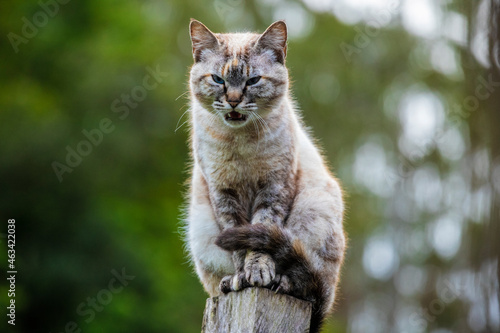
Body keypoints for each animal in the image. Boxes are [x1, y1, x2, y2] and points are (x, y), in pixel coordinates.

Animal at [186, 19, 346, 330]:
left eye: (253, 81)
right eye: (218, 80)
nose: (233, 101)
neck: (240, 141)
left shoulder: (273, 188)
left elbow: (260, 238)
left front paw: (259, 275)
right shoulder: (223, 193)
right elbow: (239, 242)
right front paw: (242, 278)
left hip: (314, 213)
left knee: (307, 285)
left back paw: (280, 283)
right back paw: (229, 283)